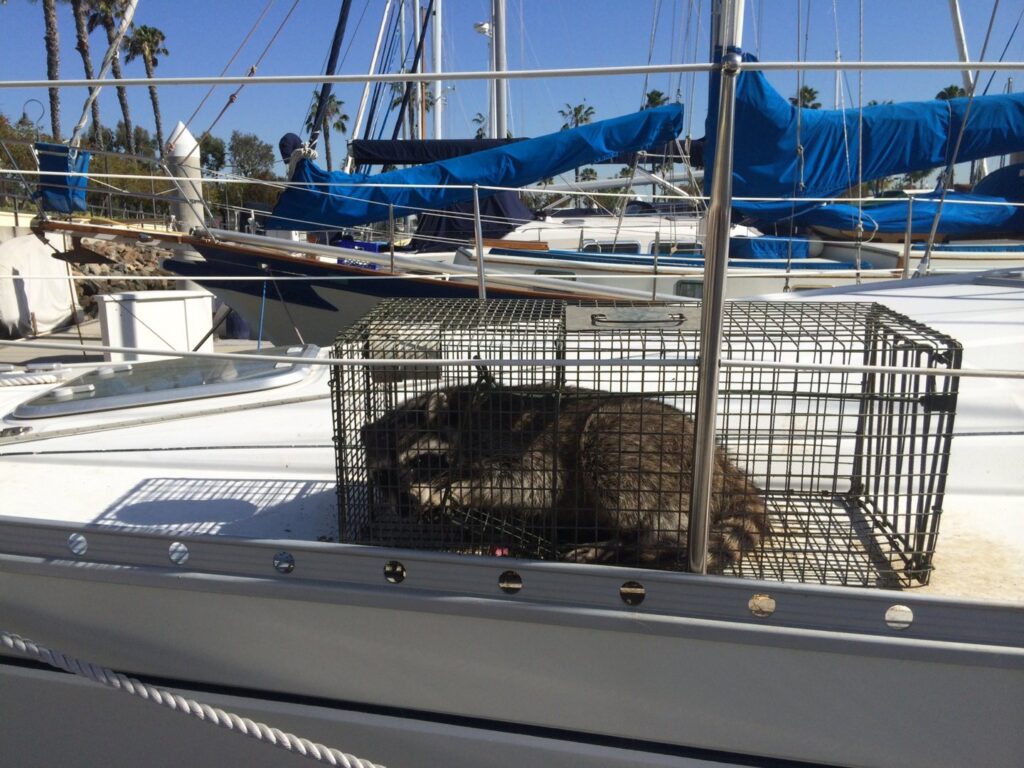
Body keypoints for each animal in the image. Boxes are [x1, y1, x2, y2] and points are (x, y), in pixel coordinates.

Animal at [360, 383, 769, 572]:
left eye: (419, 461)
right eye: (381, 477)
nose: (405, 508)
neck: (459, 418)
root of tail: (719, 462)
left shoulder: (505, 439)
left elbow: (535, 483)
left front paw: (457, 491)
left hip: (639, 445)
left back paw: (624, 540)